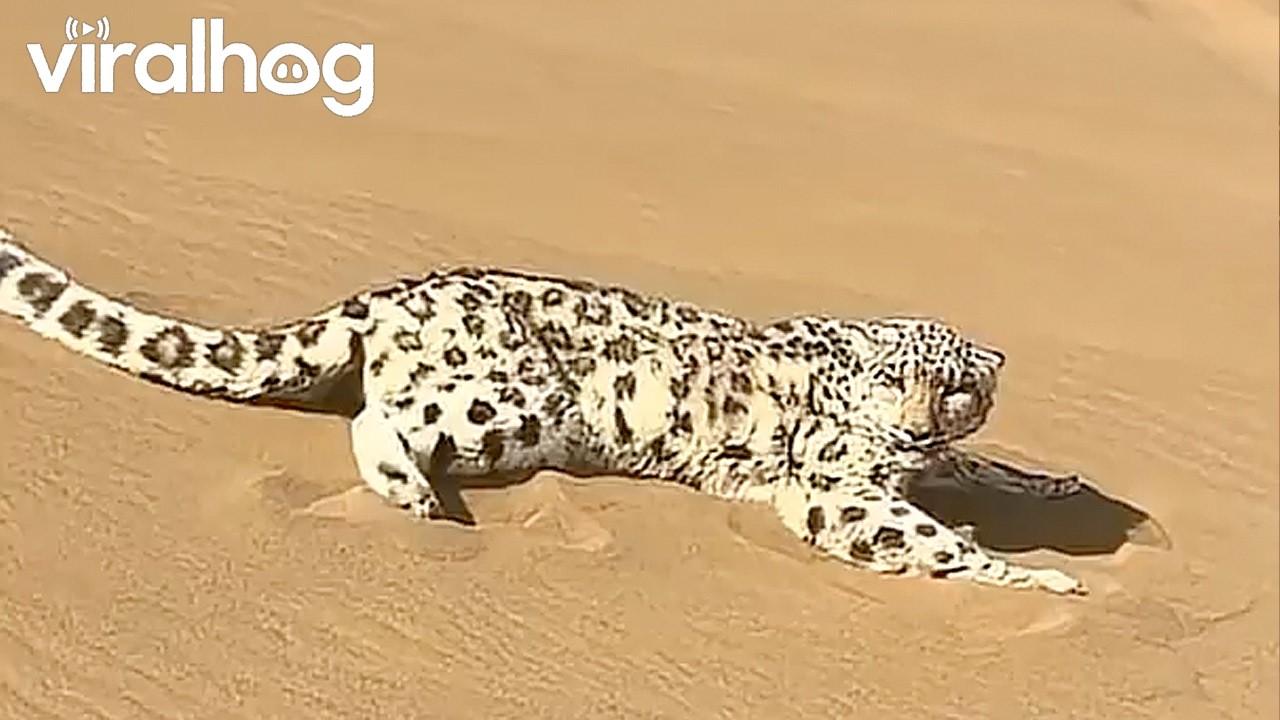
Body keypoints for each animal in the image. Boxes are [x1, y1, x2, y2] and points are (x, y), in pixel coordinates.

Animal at [0, 227, 1086, 595]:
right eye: (894, 375)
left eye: (956, 386)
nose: (917, 423)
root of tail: (386, 295)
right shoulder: (836, 488)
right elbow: (921, 536)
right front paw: (1037, 580)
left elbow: (977, 471)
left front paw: (1051, 484)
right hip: (517, 399)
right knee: (381, 417)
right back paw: (412, 495)